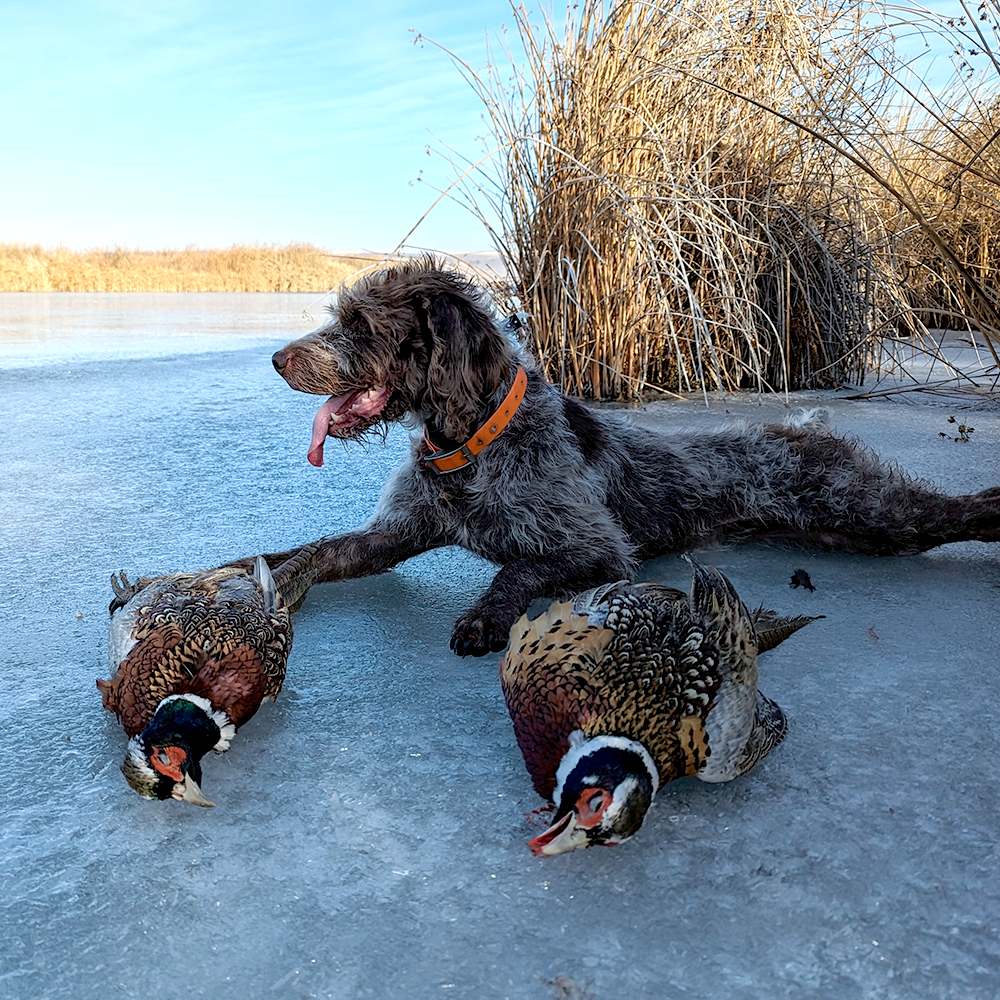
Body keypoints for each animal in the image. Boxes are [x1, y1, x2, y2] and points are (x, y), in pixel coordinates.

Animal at [268, 256, 1000, 656]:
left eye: (359, 326)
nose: (276, 359)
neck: (473, 446)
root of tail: (804, 424)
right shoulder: (394, 535)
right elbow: (318, 550)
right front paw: (266, 572)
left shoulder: (599, 551)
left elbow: (518, 571)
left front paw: (484, 616)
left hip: (865, 510)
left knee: (955, 510)